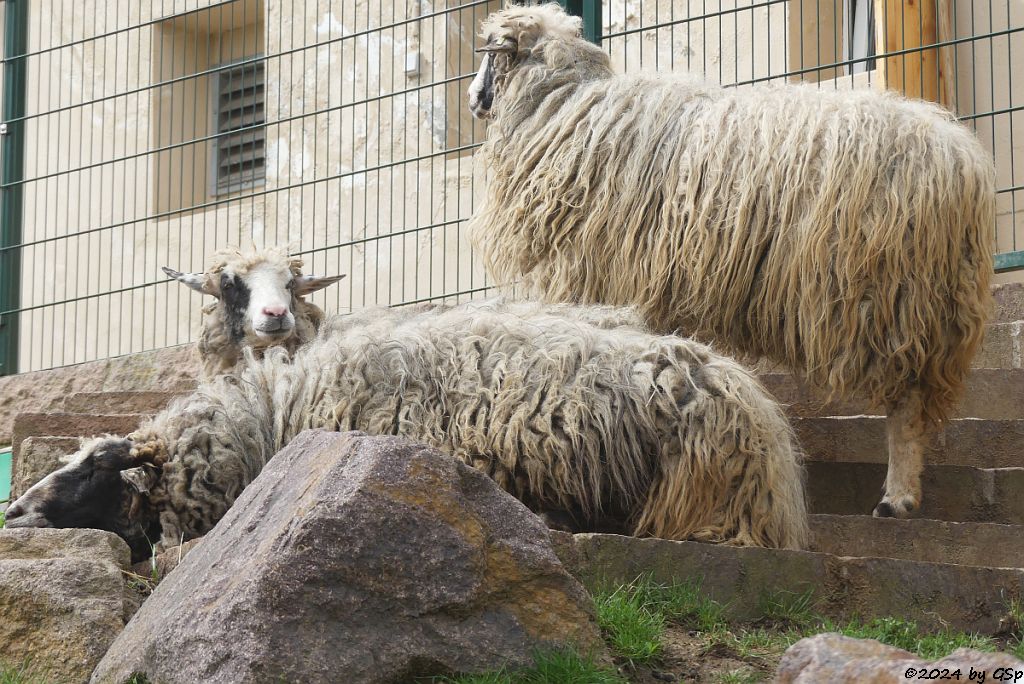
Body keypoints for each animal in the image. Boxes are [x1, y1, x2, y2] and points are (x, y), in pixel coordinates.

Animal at [466, 4, 997, 519]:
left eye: (490, 51)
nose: (472, 99)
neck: (564, 105)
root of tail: (963, 159)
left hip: (892, 297)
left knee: (906, 404)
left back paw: (897, 497)